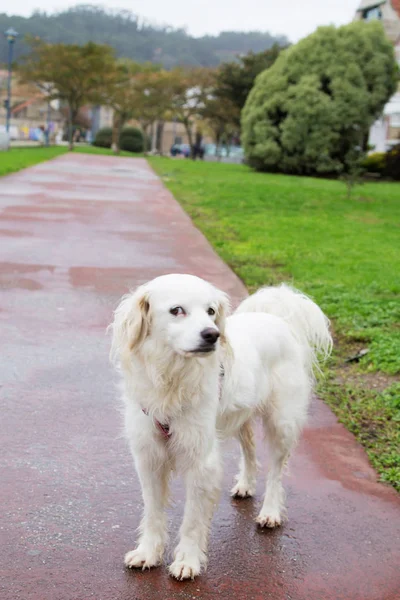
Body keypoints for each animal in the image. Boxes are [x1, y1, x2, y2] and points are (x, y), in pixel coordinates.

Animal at [109, 274, 332, 580]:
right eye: (177, 310)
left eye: (211, 311)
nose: (212, 334)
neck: (173, 378)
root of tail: (277, 318)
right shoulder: (149, 457)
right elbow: (153, 513)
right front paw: (148, 553)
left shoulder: (201, 462)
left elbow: (192, 520)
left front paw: (187, 561)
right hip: (241, 417)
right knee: (250, 451)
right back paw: (245, 485)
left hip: (282, 423)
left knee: (276, 472)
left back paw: (271, 512)